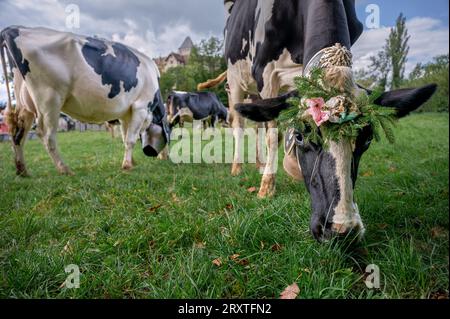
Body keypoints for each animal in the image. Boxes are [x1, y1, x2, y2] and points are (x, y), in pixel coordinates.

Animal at [0, 26, 170, 178]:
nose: (165, 157)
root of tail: (14, 28)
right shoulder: (141, 107)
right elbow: (131, 139)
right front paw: (127, 166)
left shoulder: (125, 113)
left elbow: (124, 136)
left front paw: (131, 161)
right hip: (49, 99)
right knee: (45, 134)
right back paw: (64, 169)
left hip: (27, 104)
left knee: (18, 133)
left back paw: (22, 170)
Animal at [225, 0, 436, 240]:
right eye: (300, 136)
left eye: (367, 139)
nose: (341, 229)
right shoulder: (265, 72)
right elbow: (273, 135)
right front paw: (266, 189)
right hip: (235, 80)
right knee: (241, 124)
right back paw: (238, 167)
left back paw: (261, 164)